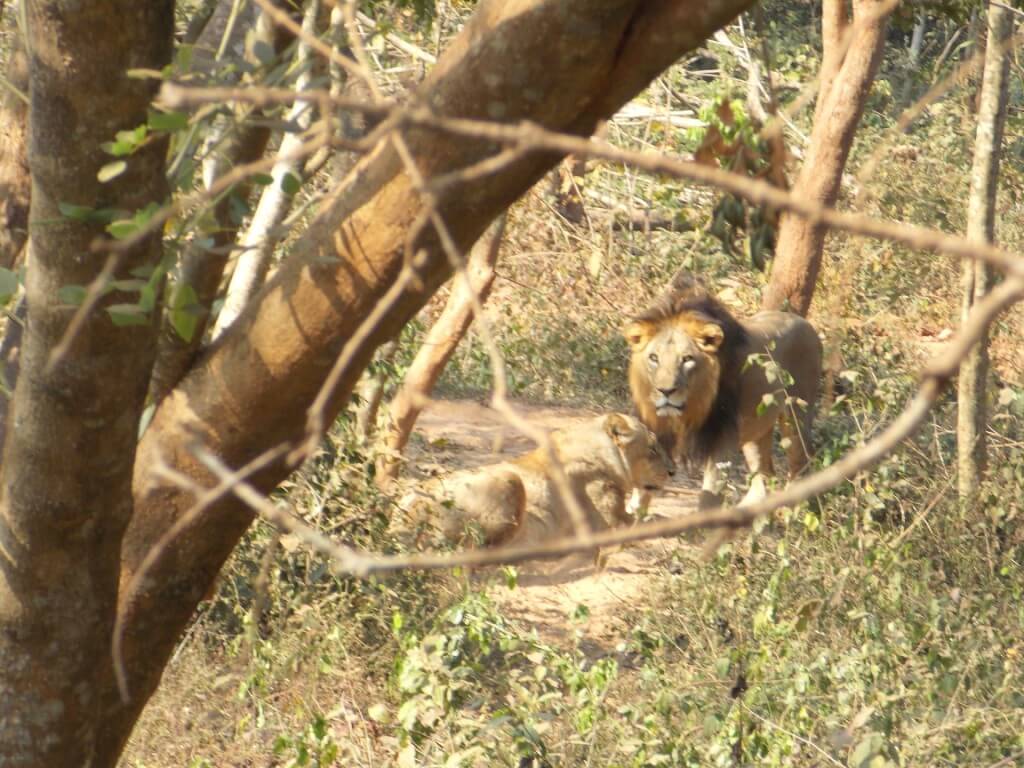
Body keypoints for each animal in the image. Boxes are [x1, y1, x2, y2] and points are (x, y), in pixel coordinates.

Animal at [618, 272, 819, 512]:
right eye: (654, 358)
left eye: (687, 359)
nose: (666, 391)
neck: (688, 409)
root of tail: (806, 323)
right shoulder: (656, 429)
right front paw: (633, 511)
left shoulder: (720, 441)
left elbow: (709, 496)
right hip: (756, 431)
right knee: (764, 476)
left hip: (796, 418)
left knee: (800, 465)